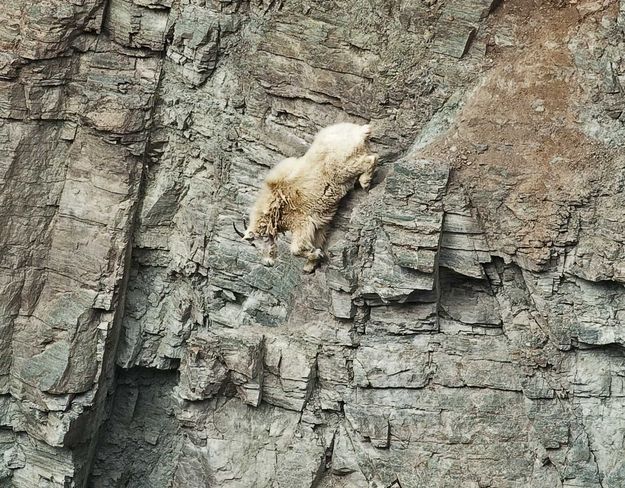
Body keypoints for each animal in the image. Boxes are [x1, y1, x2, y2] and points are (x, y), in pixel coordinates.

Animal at [236, 122, 378, 272]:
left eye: (257, 241)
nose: (267, 262)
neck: (276, 209)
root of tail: (359, 131)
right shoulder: (319, 222)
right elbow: (319, 237)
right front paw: (311, 264)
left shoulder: (302, 222)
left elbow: (296, 248)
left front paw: (315, 254)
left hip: (342, 166)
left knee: (370, 159)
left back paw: (365, 181)